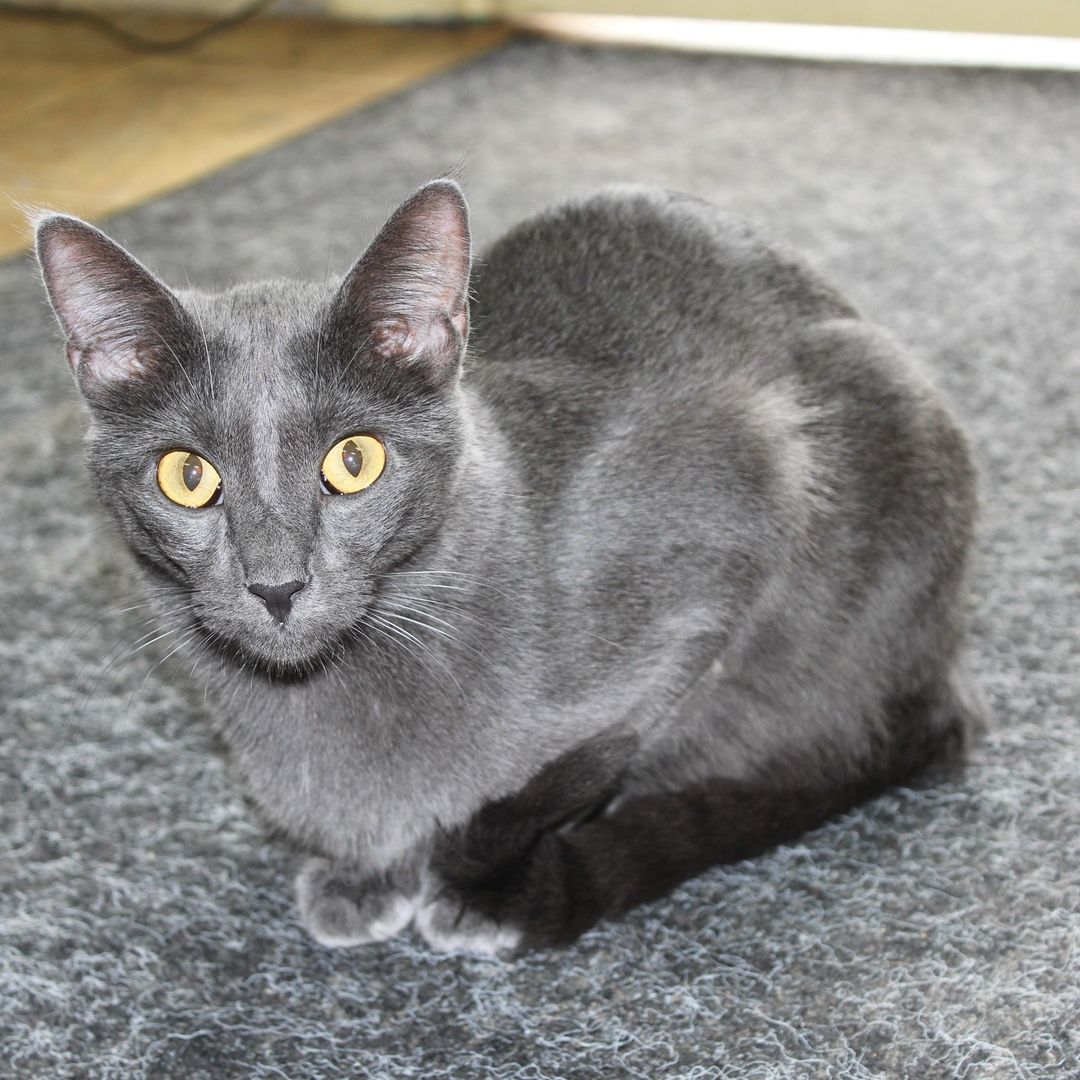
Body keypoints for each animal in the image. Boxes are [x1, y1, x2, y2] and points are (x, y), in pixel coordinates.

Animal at [33, 179, 984, 954]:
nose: (275, 585)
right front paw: (366, 879)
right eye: (187, 477)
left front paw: (472, 881)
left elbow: (574, 765)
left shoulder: (735, 525)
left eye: (355, 462)